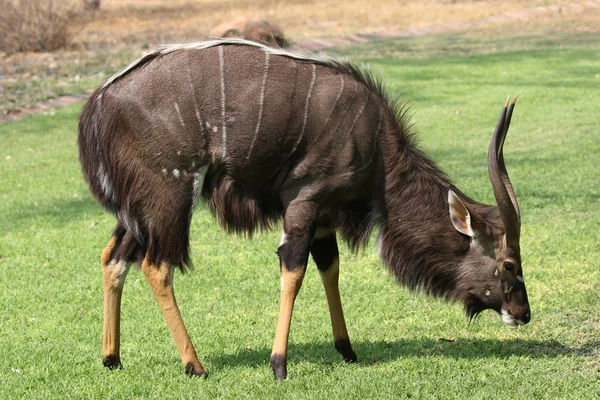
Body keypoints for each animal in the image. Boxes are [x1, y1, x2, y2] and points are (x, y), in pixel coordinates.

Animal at [78, 39, 528, 380]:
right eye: (508, 264)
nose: (522, 313)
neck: (376, 145)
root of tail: (98, 103)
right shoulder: (304, 199)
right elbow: (294, 270)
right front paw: (279, 365)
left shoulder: (325, 216)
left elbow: (330, 267)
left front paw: (347, 350)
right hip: (170, 193)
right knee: (157, 265)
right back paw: (195, 365)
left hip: (139, 208)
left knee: (113, 256)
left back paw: (112, 358)